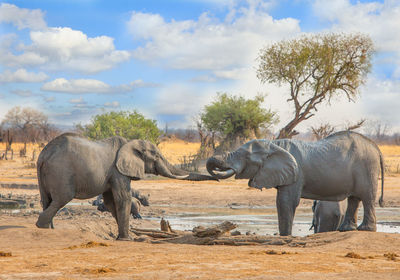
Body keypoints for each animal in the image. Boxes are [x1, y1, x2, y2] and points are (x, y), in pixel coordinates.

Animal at [36, 133, 216, 241]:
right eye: (156, 156)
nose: (217, 179)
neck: (131, 143)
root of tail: (44, 154)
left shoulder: (112, 174)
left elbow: (111, 201)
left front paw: (122, 237)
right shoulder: (118, 170)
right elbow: (123, 198)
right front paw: (126, 239)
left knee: (47, 200)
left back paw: (49, 228)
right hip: (61, 171)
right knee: (62, 198)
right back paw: (41, 226)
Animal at [206, 131, 384, 236]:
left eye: (245, 157)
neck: (274, 144)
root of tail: (375, 146)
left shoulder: (296, 174)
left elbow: (286, 201)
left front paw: (285, 237)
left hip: (367, 166)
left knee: (367, 197)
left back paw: (365, 230)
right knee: (354, 198)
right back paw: (346, 229)